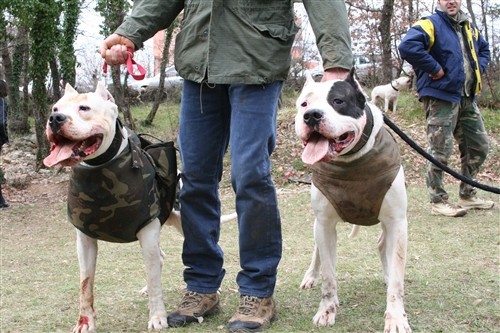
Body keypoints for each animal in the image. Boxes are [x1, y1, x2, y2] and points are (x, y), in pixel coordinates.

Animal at [296, 69, 410, 332]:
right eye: (304, 104)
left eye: (338, 101)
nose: (311, 115)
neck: (352, 162)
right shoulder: (325, 224)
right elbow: (328, 274)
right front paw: (327, 310)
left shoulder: (397, 223)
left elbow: (397, 279)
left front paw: (396, 318)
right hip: (318, 226)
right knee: (319, 253)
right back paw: (311, 276)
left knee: (383, 245)